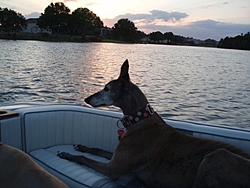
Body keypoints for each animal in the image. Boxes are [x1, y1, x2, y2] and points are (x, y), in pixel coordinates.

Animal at [58, 60, 250, 188]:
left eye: (106, 88)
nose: (86, 99)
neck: (140, 119)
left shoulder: (113, 169)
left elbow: (84, 159)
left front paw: (66, 154)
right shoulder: (118, 157)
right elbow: (98, 149)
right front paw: (81, 146)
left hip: (216, 157)